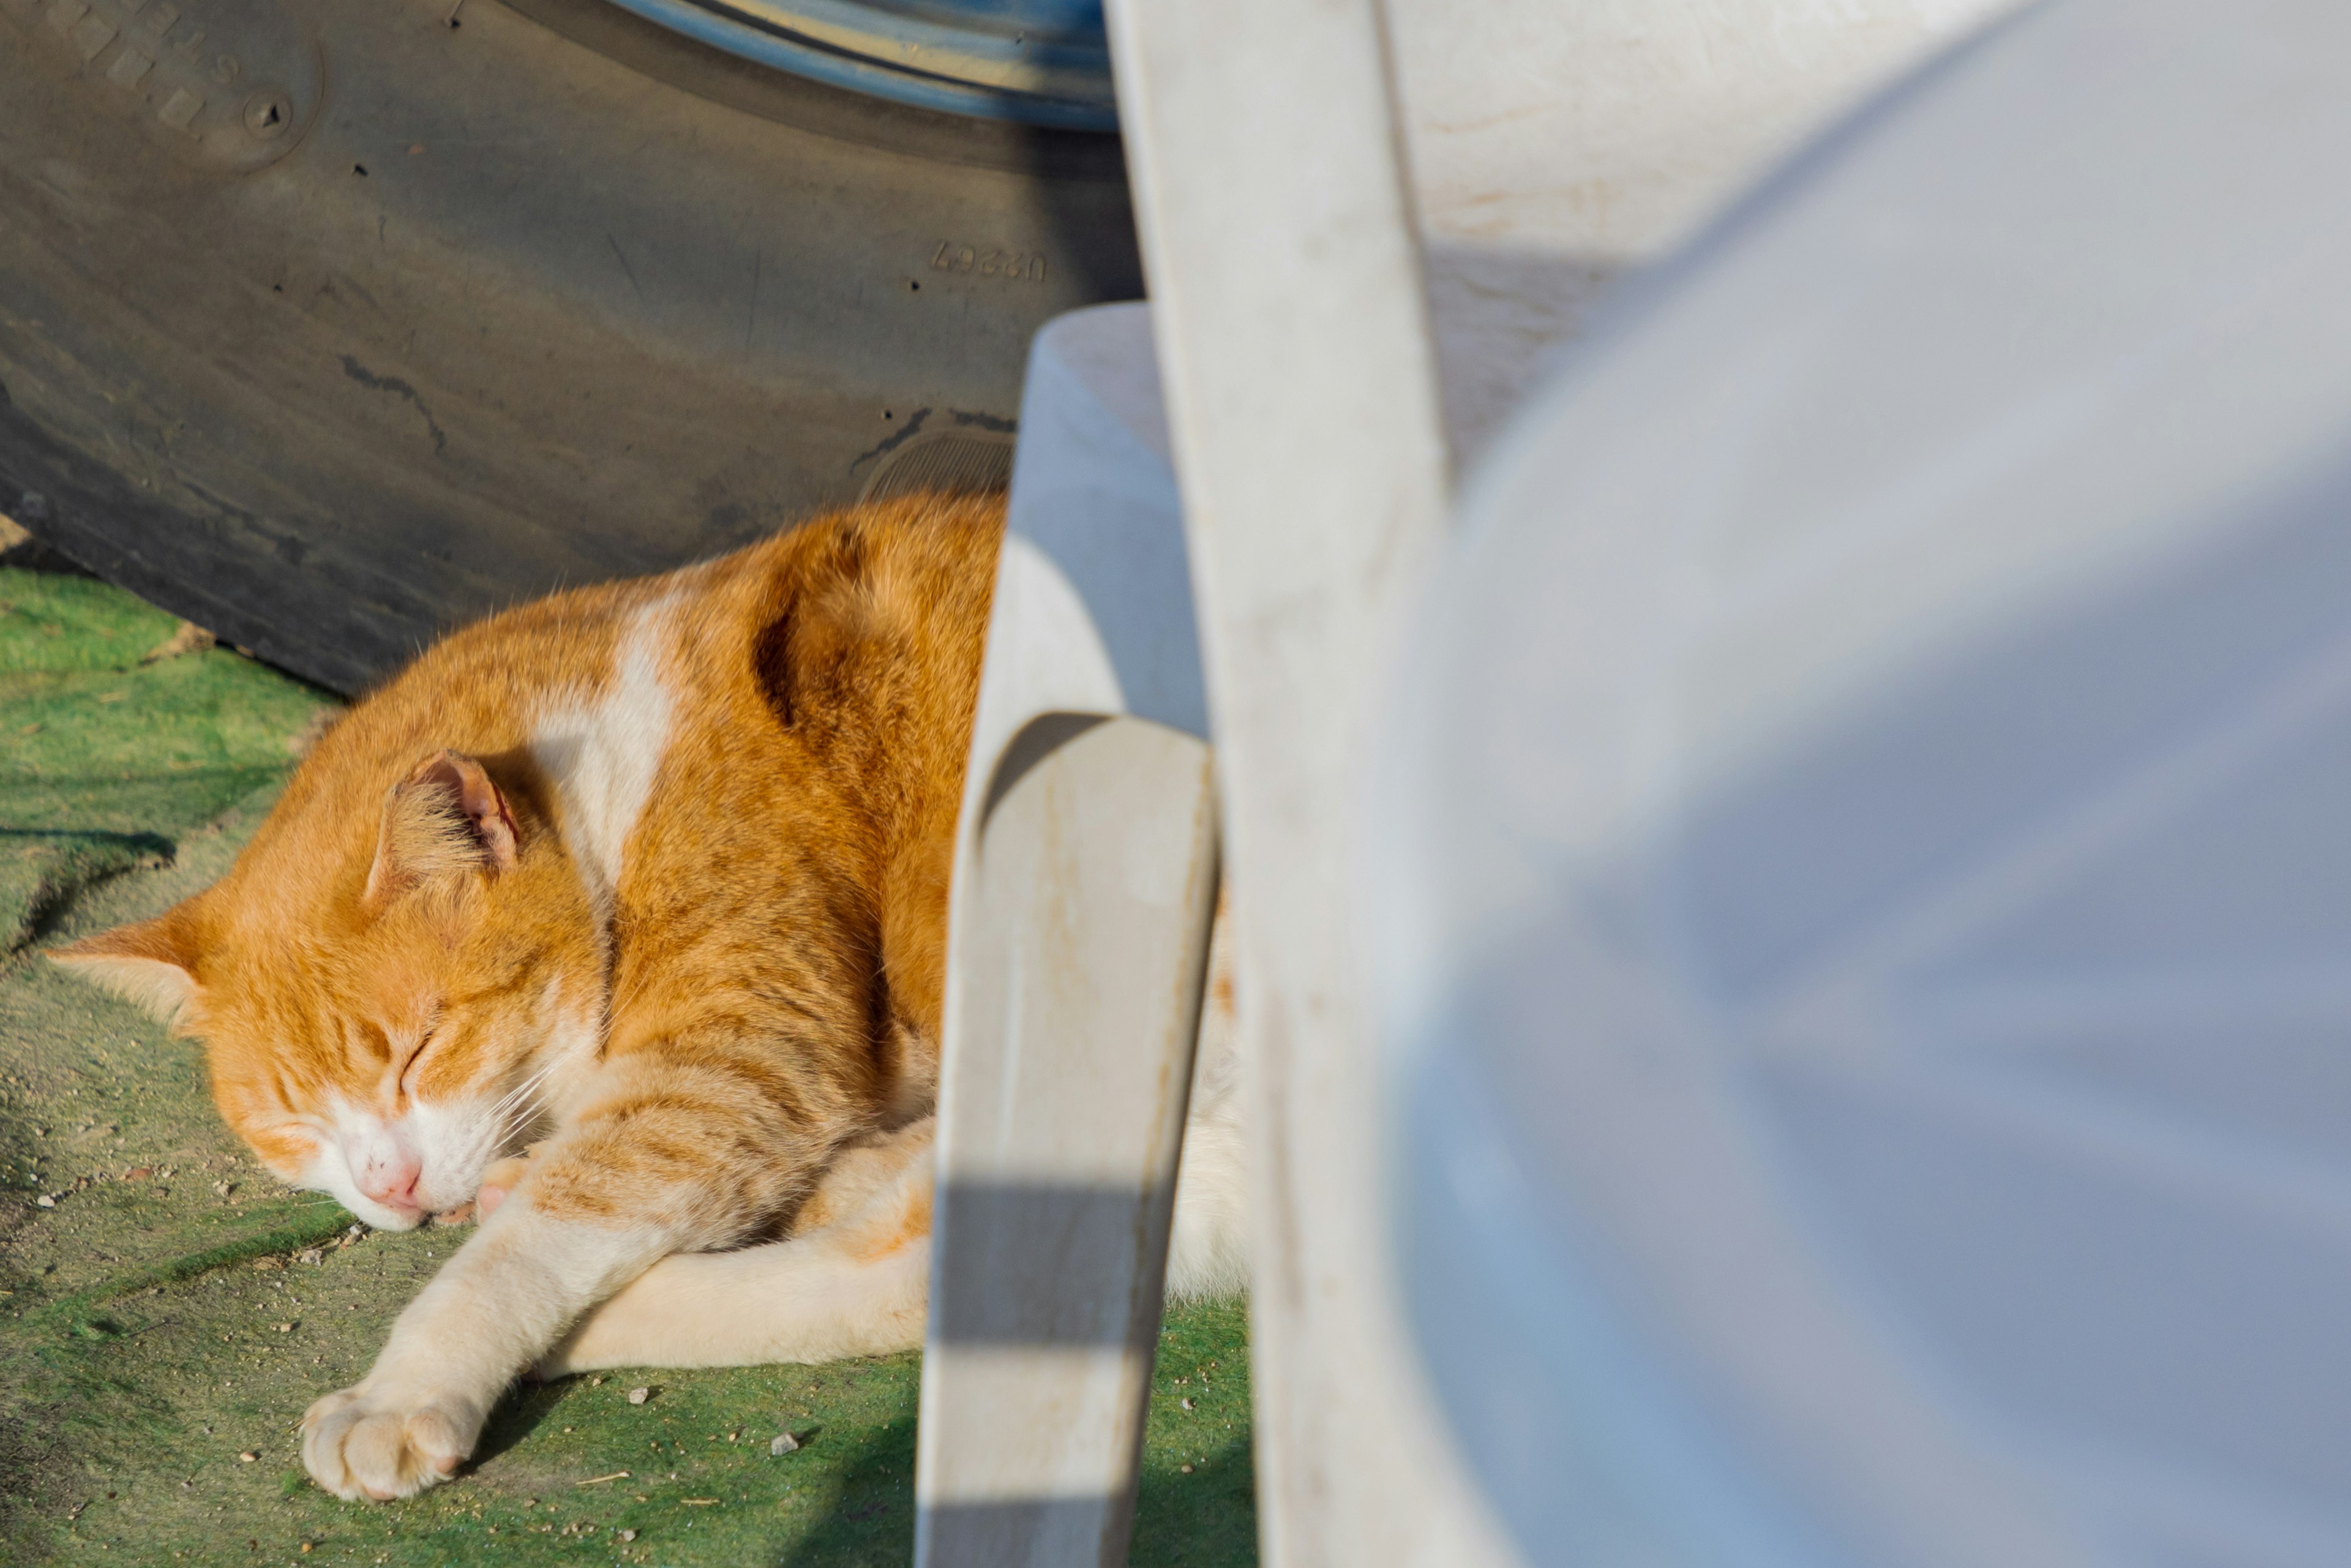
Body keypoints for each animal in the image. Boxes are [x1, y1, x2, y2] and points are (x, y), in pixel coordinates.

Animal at [45, 496, 1250, 1504]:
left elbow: (544, 1235)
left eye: (421, 1049)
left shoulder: (734, 1054)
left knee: (914, 1269)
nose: (391, 1187)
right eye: (292, 1127)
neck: (616, 769)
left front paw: (406, 1385)